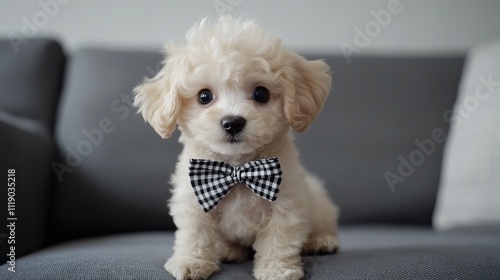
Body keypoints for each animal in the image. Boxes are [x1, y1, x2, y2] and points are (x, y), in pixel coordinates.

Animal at [134, 15, 340, 280]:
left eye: (261, 94)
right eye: (204, 96)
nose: (232, 122)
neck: (236, 169)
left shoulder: (287, 201)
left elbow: (279, 239)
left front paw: (276, 270)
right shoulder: (193, 199)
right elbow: (195, 234)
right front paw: (191, 262)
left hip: (318, 202)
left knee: (323, 223)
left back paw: (321, 241)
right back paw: (229, 251)